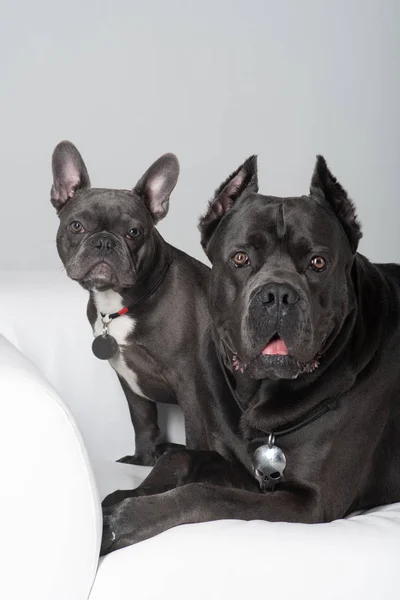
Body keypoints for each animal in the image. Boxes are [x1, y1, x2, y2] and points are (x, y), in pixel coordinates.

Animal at [50, 143, 244, 466]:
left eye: (134, 232)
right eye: (76, 226)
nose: (104, 241)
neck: (120, 302)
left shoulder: (189, 381)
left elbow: (195, 432)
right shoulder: (130, 383)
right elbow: (143, 421)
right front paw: (142, 460)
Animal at [100, 154, 400, 552]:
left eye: (318, 263)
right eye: (240, 258)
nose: (278, 295)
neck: (261, 396)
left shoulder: (310, 502)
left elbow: (204, 495)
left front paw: (125, 519)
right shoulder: (237, 464)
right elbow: (178, 456)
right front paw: (121, 496)